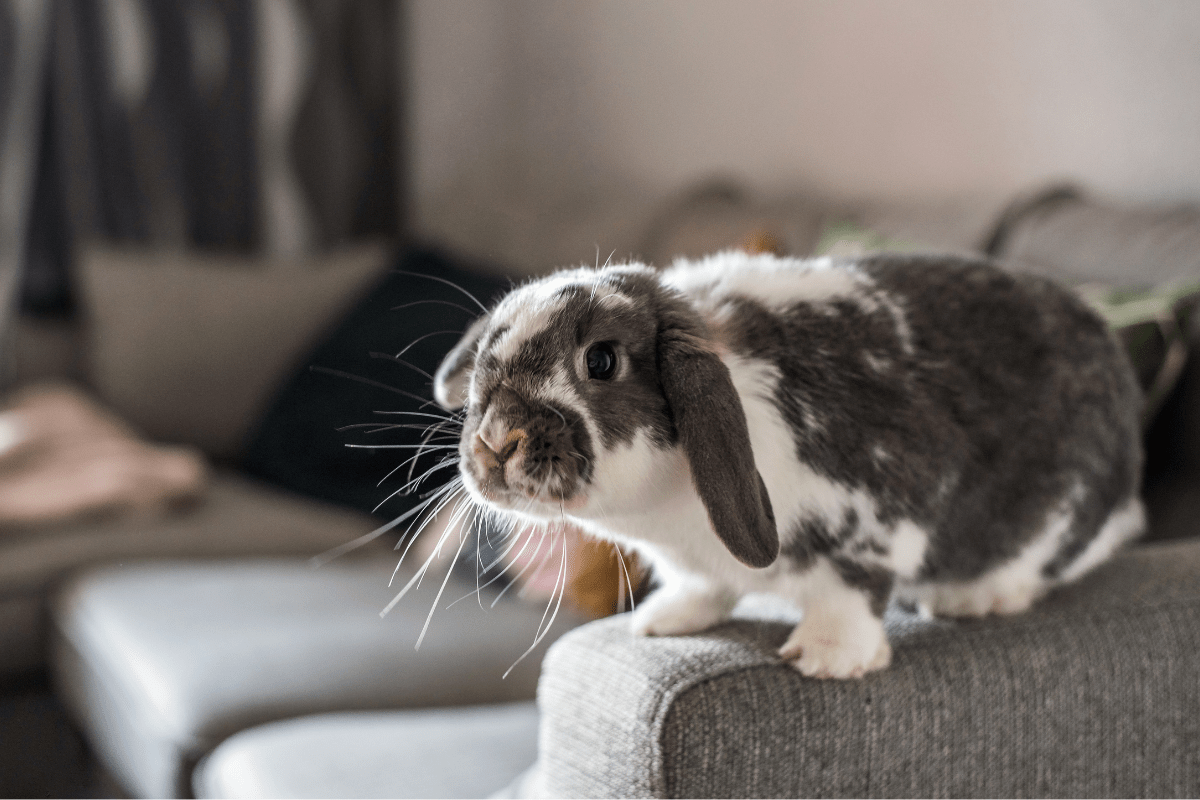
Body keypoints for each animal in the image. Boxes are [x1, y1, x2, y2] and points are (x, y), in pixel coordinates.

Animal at [432, 250, 1145, 679]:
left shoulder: (876, 513)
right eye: (488, 352)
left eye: (601, 360)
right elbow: (701, 587)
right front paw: (664, 622)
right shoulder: (694, 563)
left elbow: (850, 591)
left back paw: (975, 597)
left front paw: (828, 659)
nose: (496, 442)